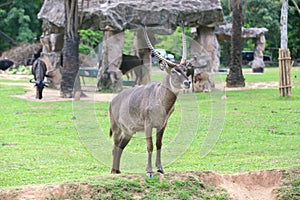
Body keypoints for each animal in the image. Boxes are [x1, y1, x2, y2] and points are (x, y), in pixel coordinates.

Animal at [109, 24, 191, 177]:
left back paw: (117, 170)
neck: (160, 98)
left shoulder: (162, 125)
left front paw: (160, 168)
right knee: (115, 146)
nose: (187, 82)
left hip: (128, 131)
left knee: (120, 147)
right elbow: (149, 146)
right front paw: (149, 171)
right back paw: (113, 171)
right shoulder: (148, 125)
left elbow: (159, 144)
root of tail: (113, 100)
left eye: (184, 69)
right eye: (173, 71)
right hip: (116, 128)